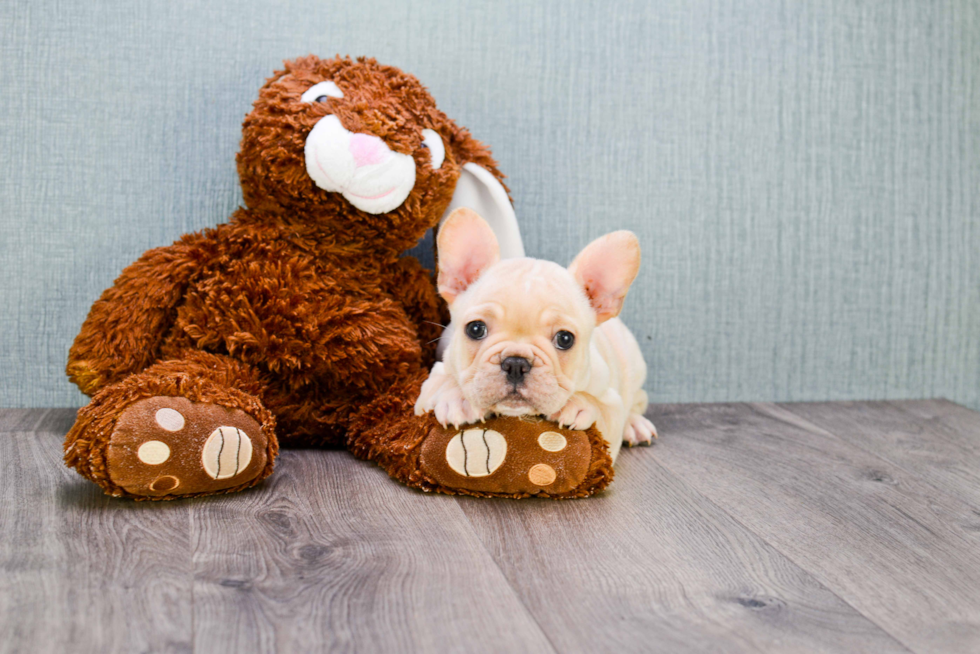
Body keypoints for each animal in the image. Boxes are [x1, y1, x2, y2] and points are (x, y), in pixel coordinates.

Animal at [414, 209, 660, 462]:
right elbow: (445, 383)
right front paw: (459, 400)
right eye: (475, 329)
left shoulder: (611, 408)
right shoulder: (433, 379)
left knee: (638, 400)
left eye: (565, 339)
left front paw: (577, 405)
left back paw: (635, 425)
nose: (515, 363)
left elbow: (600, 407)